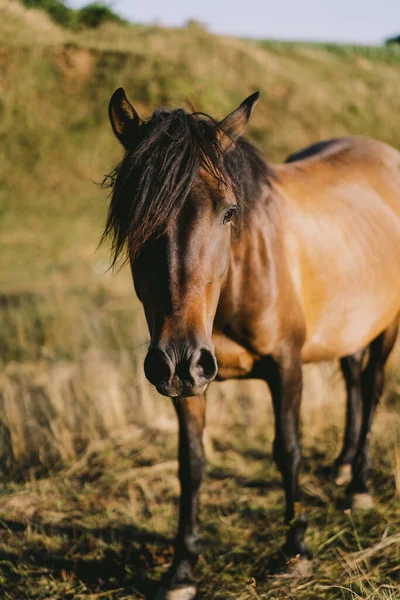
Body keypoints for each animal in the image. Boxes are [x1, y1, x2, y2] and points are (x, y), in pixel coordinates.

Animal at [104, 89, 400, 600]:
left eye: (228, 211)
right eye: (133, 213)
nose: (180, 357)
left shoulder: (286, 366)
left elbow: (288, 450)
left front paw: (296, 550)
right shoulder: (188, 383)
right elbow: (192, 464)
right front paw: (182, 569)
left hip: (387, 325)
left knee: (373, 385)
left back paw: (358, 486)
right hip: (348, 326)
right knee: (353, 382)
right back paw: (343, 467)